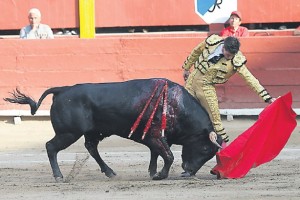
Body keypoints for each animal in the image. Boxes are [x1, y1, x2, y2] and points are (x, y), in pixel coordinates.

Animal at [3, 78, 221, 181]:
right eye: (204, 149)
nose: (189, 172)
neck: (176, 105)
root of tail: (63, 89)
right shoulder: (156, 137)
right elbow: (168, 156)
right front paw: (159, 175)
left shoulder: (155, 138)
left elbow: (156, 154)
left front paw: (152, 172)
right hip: (68, 133)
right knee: (51, 147)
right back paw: (58, 176)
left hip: (90, 132)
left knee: (91, 148)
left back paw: (110, 172)